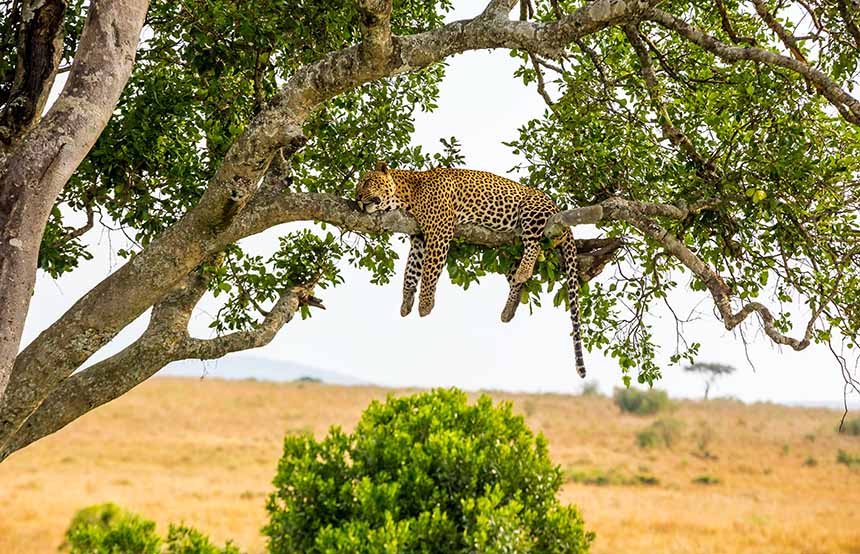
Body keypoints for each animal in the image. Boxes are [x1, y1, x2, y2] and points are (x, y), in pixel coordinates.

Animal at [352, 160, 588, 376]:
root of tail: (556, 207)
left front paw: (425, 305)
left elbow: (429, 271)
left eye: (367, 182)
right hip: (510, 250)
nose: (357, 198)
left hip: (532, 210)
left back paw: (523, 271)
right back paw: (509, 308)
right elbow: (411, 271)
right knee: (517, 280)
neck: (407, 194)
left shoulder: (440, 230)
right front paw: (406, 302)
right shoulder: (419, 238)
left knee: (535, 244)